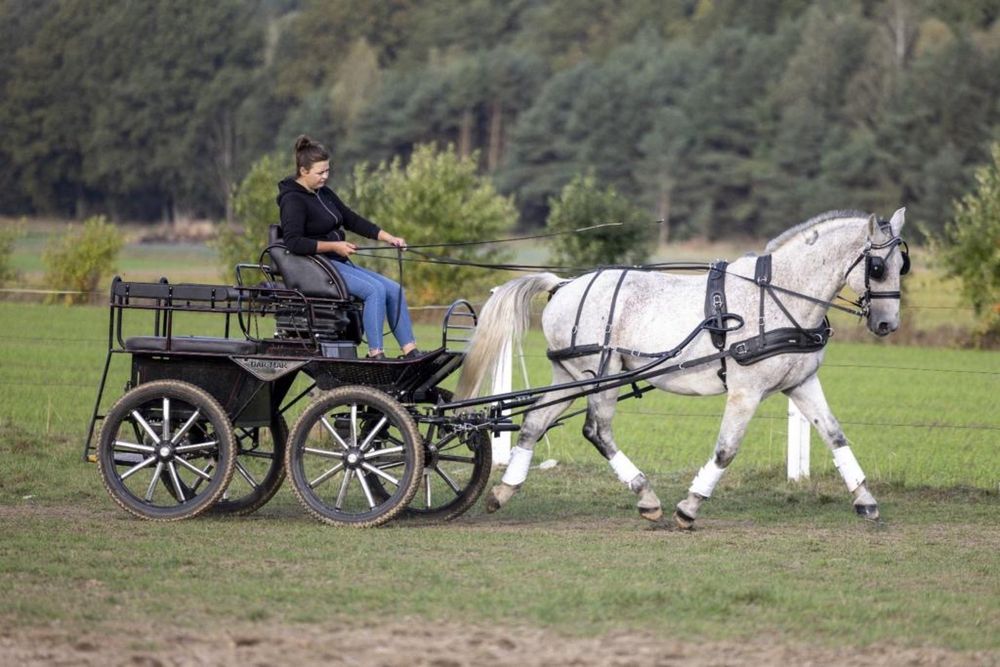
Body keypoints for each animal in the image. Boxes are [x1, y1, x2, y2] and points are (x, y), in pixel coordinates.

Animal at [458, 209, 912, 528]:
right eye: (877, 267)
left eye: (901, 266)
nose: (887, 324)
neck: (777, 297)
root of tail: (564, 285)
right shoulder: (746, 391)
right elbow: (726, 450)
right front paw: (689, 508)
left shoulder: (801, 383)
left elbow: (835, 436)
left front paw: (866, 501)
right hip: (601, 375)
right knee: (597, 431)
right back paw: (646, 497)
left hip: (571, 376)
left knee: (535, 423)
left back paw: (503, 491)